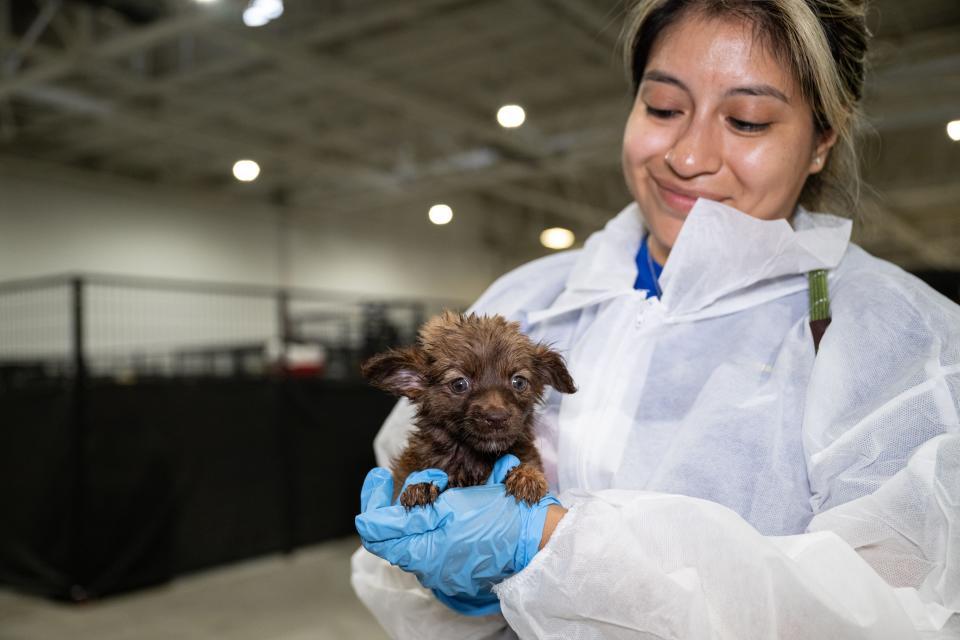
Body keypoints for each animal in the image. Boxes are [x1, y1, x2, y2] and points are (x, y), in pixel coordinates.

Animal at [360, 312, 572, 510]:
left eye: (518, 382)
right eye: (459, 384)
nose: (497, 418)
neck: (474, 458)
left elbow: (528, 464)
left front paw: (527, 476)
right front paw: (420, 488)